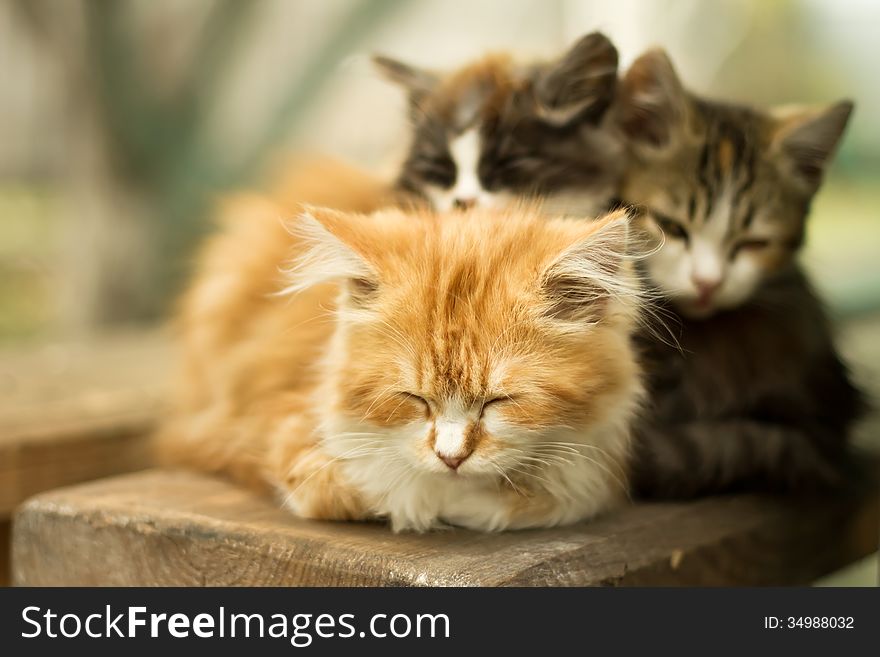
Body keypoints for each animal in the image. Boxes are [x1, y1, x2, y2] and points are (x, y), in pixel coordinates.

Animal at [158, 163, 644, 528]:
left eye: (501, 401)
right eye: (414, 399)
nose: (451, 458)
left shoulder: (599, 466)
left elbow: (558, 496)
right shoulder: (274, 425)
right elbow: (374, 488)